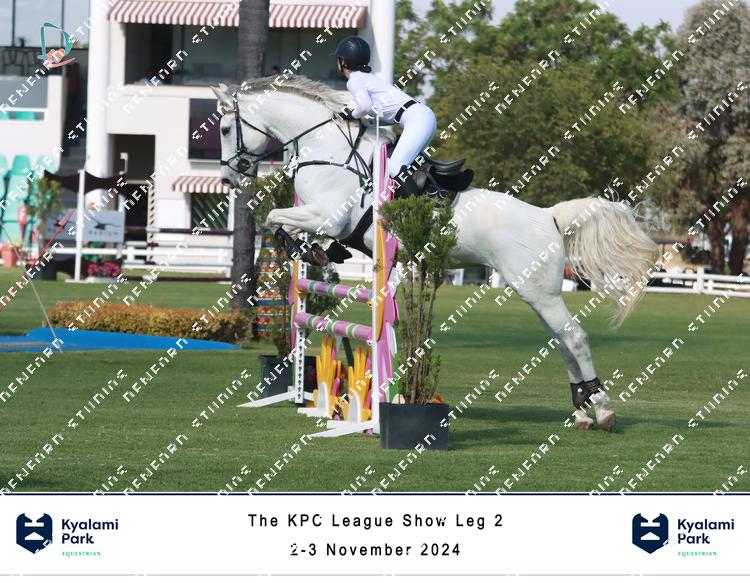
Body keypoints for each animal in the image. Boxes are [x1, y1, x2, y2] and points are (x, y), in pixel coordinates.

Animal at [212, 77, 658, 431]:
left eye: (224, 127)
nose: (229, 177)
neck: (326, 147)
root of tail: (548, 215)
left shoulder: (328, 216)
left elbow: (276, 218)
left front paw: (307, 250)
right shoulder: (320, 217)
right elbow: (283, 224)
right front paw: (316, 253)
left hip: (539, 291)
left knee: (575, 338)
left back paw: (602, 411)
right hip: (534, 292)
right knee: (563, 342)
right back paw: (582, 410)